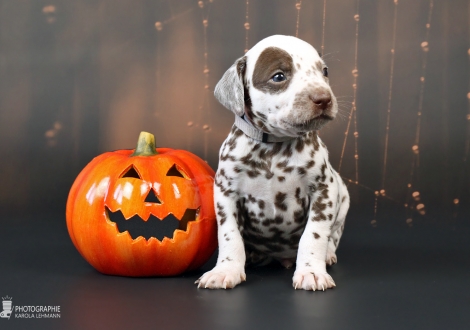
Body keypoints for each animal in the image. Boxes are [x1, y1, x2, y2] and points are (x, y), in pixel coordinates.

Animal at [195, 34, 348, 290]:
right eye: (278, 76)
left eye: (324, 71)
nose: (324, 99)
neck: (274, 147)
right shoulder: (225, 193)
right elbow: (229, 235)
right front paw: (225, 270)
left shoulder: (324, 190)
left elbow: (314, 235)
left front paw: (311, 271)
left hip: (343, 193)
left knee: (333, 235)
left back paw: (327, 254)